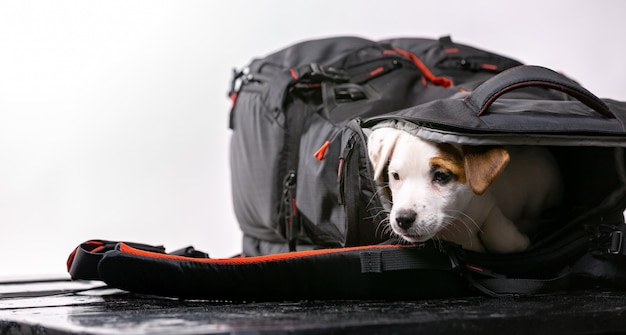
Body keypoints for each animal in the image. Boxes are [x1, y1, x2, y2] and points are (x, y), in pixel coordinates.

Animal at [366, 127, 560, 253]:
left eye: (441, 176)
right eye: (395, 175)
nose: (403, 219)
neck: (456, 224)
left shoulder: (488, 204)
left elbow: (500, 238)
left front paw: (520, 241)